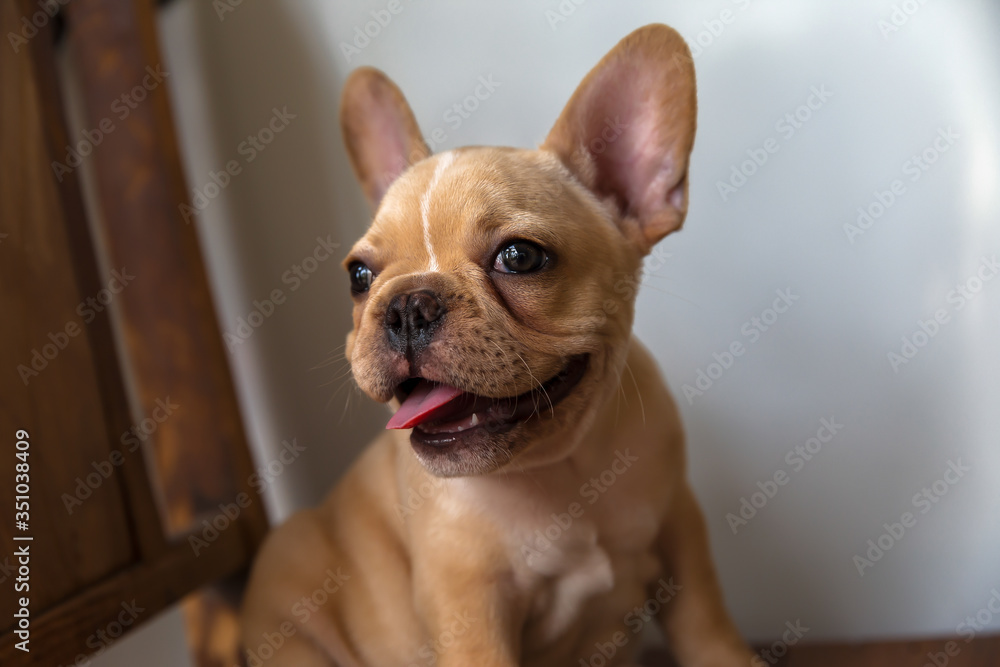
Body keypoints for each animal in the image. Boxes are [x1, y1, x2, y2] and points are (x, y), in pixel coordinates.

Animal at [242, 22, 752, 667]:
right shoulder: (469, 605)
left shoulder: (681, 529)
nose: (406, 305)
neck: (560, 467)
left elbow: (707, 624)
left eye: (520, 257)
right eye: (358, 275)